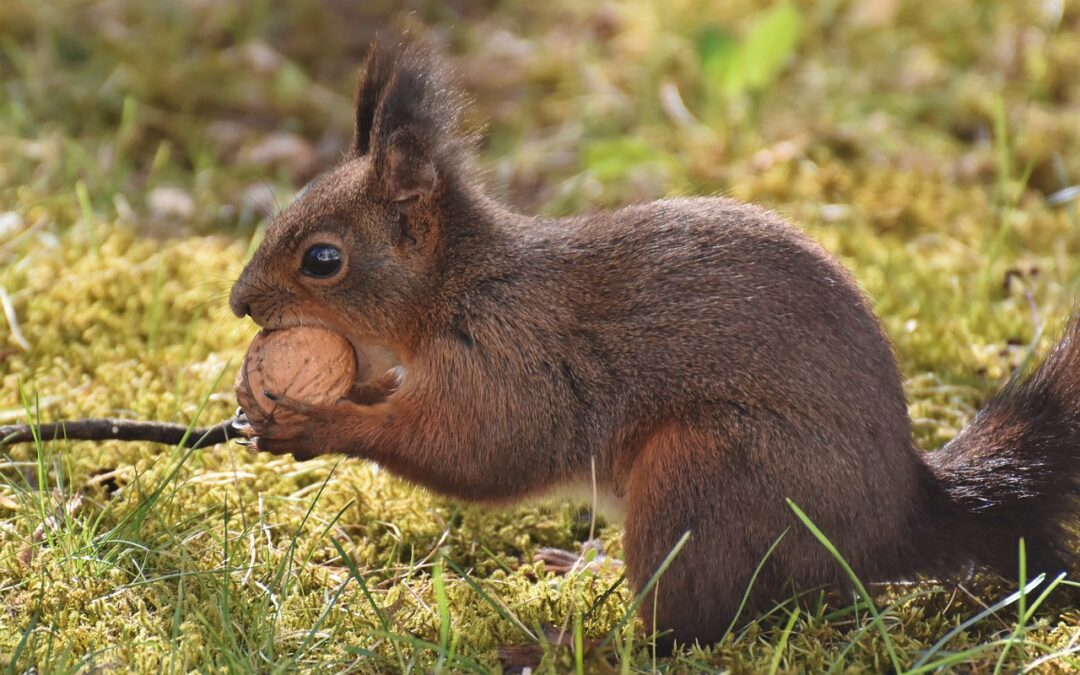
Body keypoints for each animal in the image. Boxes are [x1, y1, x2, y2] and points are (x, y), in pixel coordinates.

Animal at [230, 40, 1080, 648]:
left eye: (322, 259)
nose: (240, 302)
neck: (460, 287)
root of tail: (898, 520)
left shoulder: (513, 358)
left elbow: (477, 451)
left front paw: (319, 421)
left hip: (708, 477)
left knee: (684, 629)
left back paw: (574, 642)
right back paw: (590, 564)